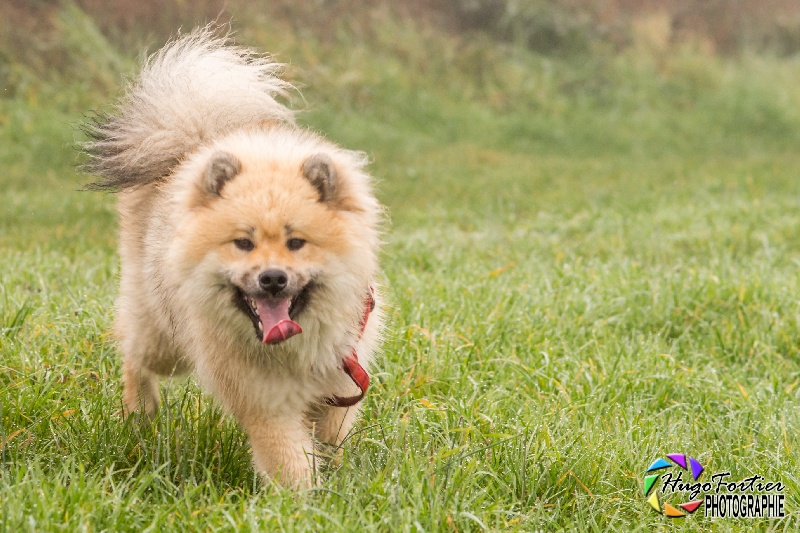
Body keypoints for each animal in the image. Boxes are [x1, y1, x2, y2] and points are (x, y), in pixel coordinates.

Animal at [83, 28, 382, 486]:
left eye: (297, 243)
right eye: (243, 243)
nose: (273, 278)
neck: (291, 349)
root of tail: (192, 144)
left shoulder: (342, 375)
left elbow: (333, 435)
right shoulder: (264, 401)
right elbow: (290, 459)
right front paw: (304, 498)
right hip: (163, 335)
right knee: (135, 352)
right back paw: (139, 413)